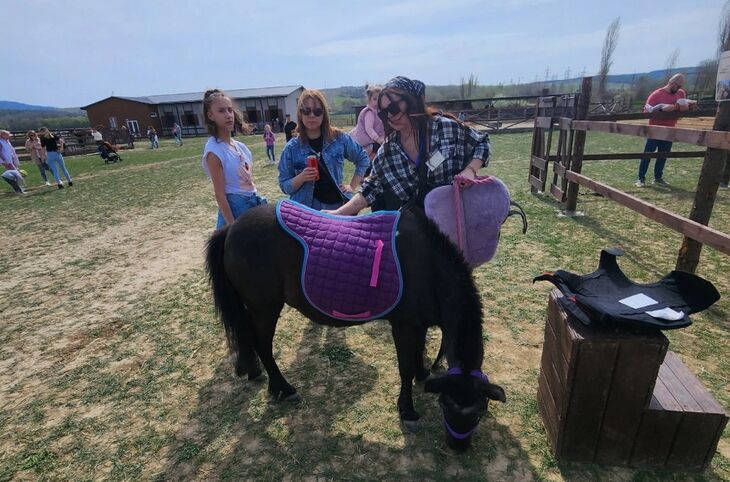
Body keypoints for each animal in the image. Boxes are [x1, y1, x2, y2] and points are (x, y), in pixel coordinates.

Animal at [205, 201, 506, 450]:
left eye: (481, 410)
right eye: (445, 405)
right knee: (263, 345)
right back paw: (283, 388)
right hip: (265, 308)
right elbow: (405, 368)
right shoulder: (403, 326)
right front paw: (407, 410)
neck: (428, 266)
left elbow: (417, 357)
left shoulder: (418, 325)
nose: (458, 448)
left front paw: (423, 376)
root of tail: (231, 228)